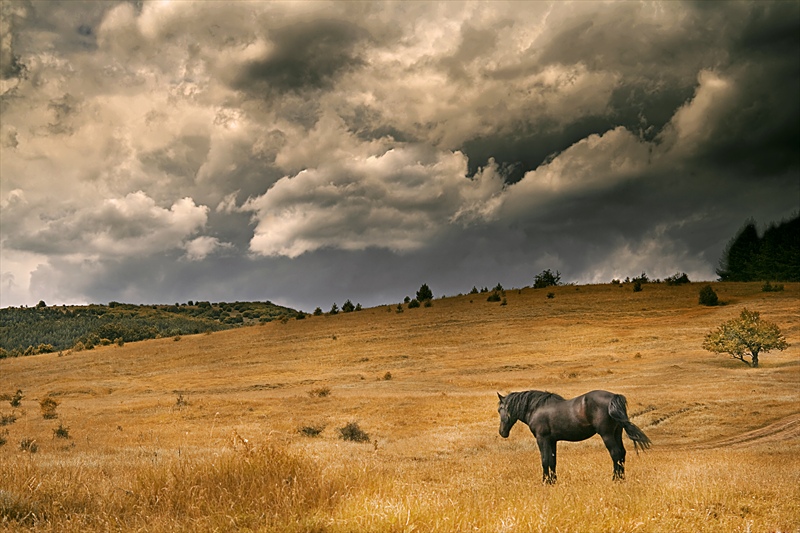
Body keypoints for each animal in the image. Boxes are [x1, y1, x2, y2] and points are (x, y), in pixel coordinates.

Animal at [496, 386, 652, 482]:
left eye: (500, 409)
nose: (502, 432)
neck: (536, 408)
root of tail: (613, 397)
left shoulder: (542, 439)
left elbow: (545, 460)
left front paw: (545, 482)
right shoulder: (552, 440)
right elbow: (552, 461)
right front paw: (553, 482)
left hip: (606, 434)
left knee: (616, 453)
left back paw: (615, 479)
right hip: (616, 433)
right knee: (622, 454)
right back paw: (621, 479)